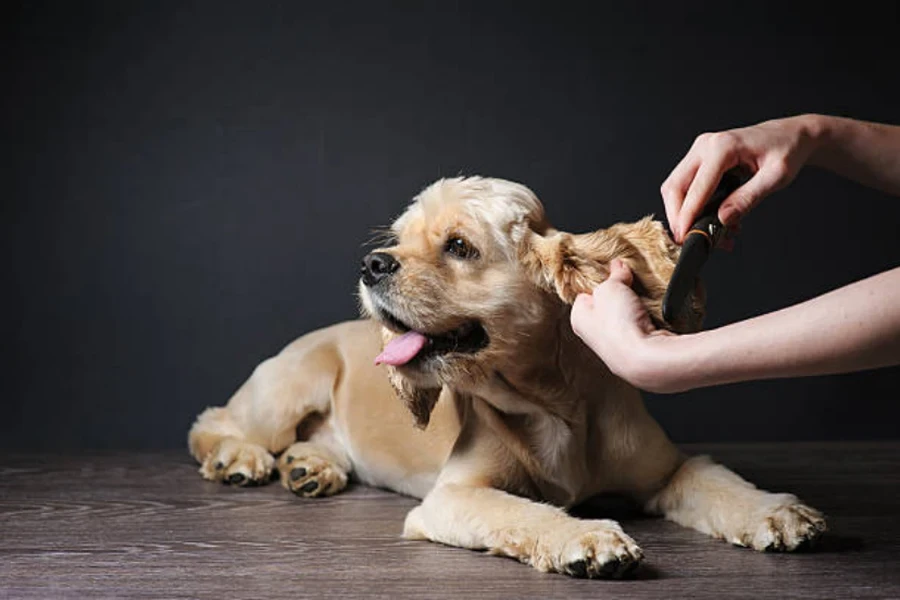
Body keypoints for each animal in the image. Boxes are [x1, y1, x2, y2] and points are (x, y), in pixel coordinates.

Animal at [186, 176, 828, 580]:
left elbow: (717, 480)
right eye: (399, 240)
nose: (372, 264)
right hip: (293, 382)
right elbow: (526, 511)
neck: (553, 407)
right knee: (213, 421)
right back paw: (241, 459)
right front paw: (586, 539)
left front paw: (774, 512)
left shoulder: (667, 470)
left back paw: (310, 467)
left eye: (459, 246)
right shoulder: (452, 497)